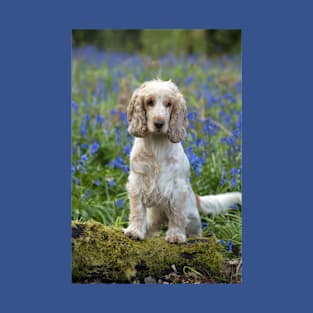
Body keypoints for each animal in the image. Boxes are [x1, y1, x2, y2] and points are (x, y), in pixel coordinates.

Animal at [123, 79, 240, 243]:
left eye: (169, 104)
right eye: (149, 102)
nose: (159, 123)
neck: (157, 144)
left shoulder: (177, 186)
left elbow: (177, 214)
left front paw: (176, 236)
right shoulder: (137, 181)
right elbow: (137, 210)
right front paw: (134, 231)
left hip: (193, 220)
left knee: (193, 229)